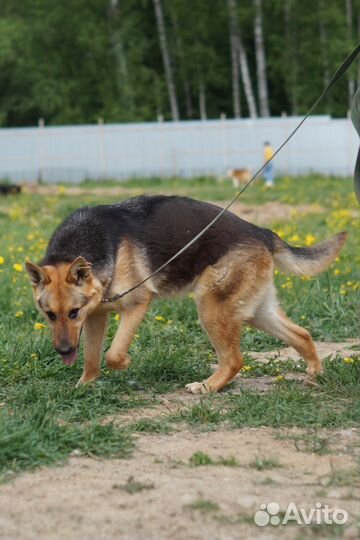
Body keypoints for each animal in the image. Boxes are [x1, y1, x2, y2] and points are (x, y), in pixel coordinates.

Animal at [24, 194, 346, 392]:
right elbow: (91, 358)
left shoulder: (137, 305)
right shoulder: (96, 317)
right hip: (256, 313)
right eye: (50, 315)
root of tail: (262, 232)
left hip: (211, 308)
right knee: (302, 334)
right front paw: (84, 386)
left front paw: (124, 364)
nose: (63, 351)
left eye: (73, 312)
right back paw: (315, 373)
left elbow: (114, 353)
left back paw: (208, 387)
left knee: (234, 360)